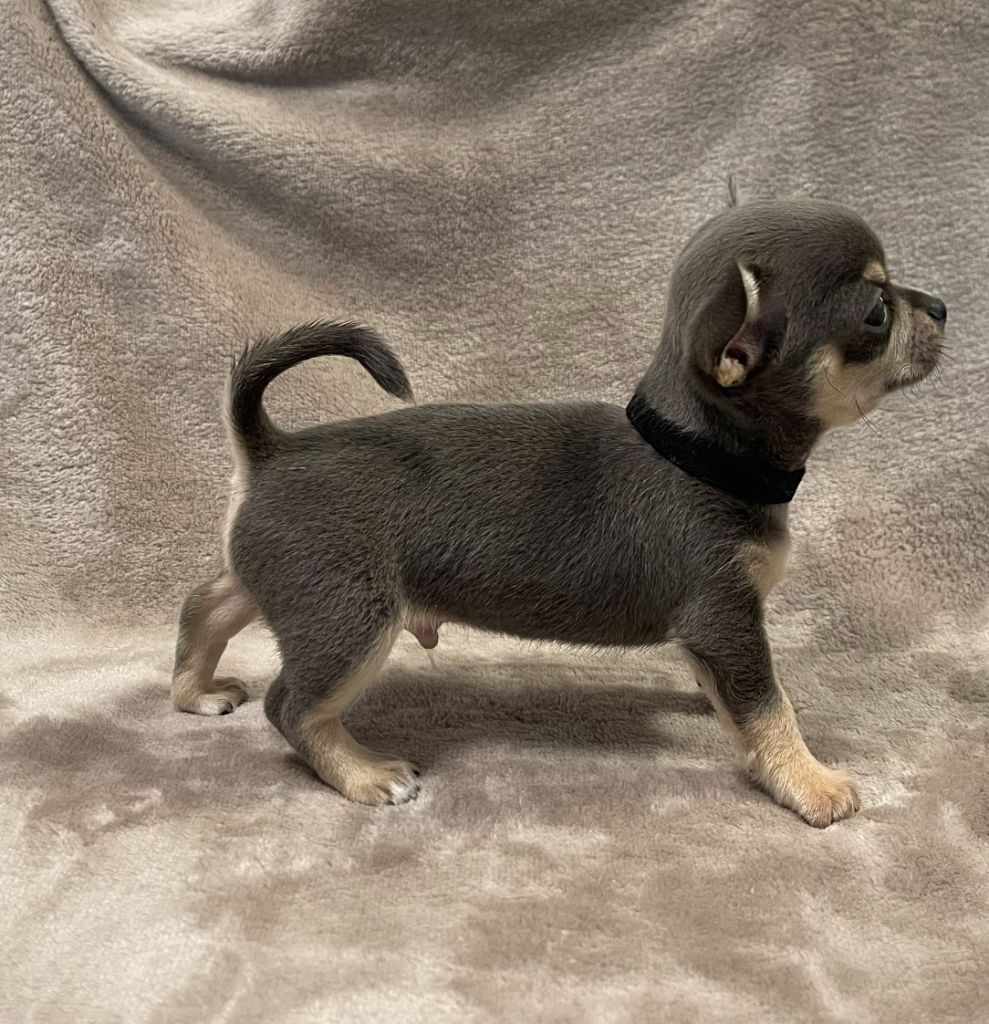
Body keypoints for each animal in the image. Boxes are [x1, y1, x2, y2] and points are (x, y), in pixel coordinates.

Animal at [172, 198, 946, 827]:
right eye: (876, 313)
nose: (939, 306)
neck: (695, 453)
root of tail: (271, 448)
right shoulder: (725, 614)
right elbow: (769, 705)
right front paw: (810, 783)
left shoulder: (715, 628)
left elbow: (737, 694)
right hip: (350, 622)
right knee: (292, 706)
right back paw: (364, 773)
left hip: (280, 587)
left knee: (206, 603)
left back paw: (194, 691)